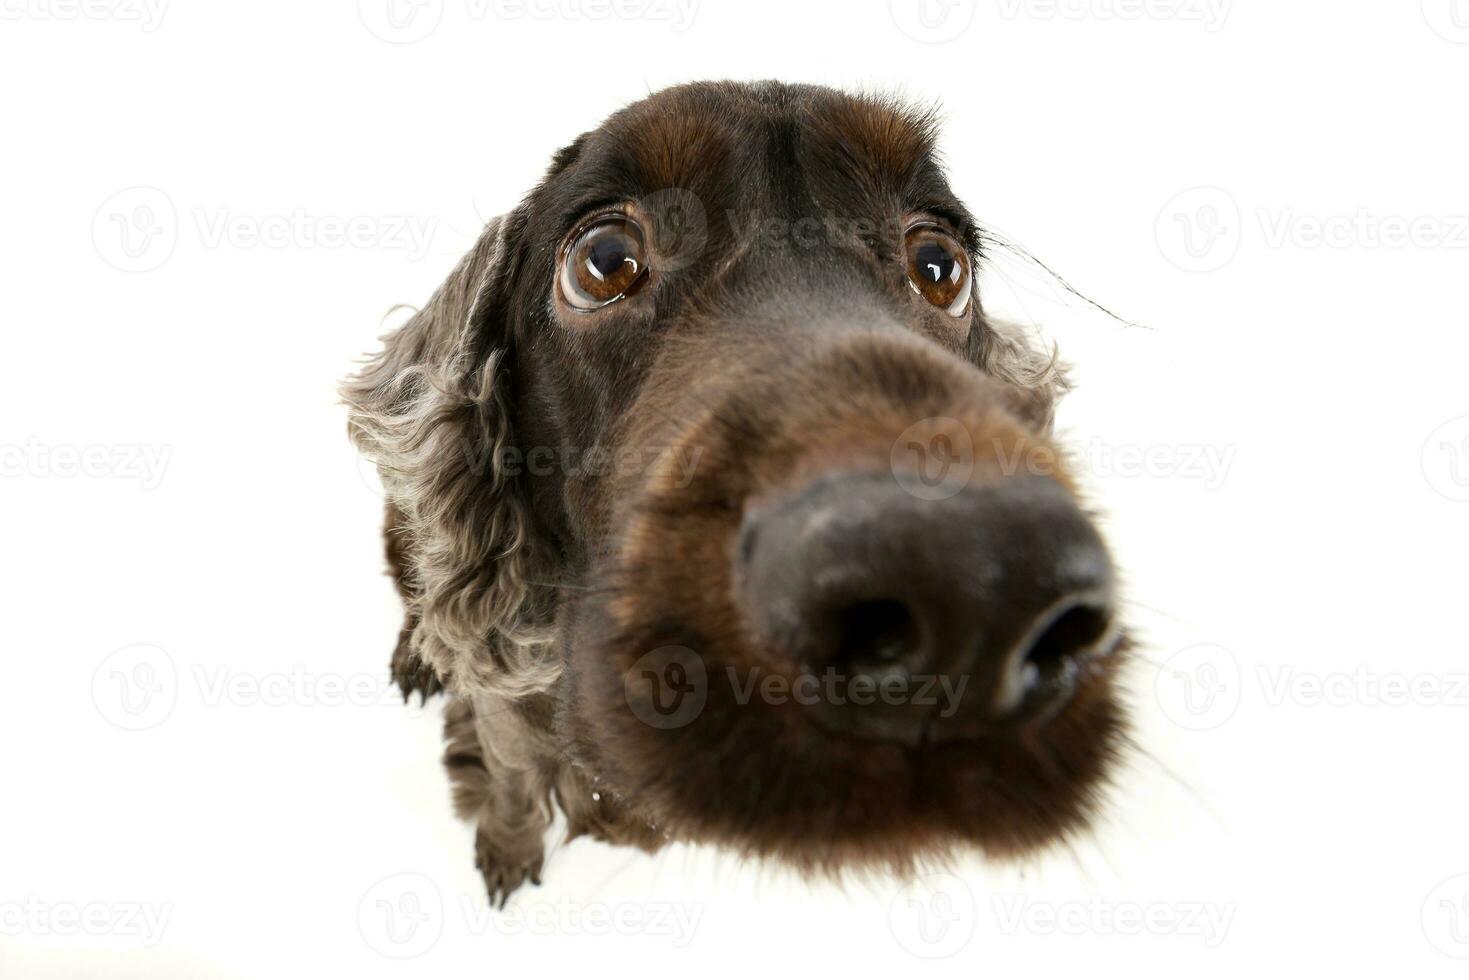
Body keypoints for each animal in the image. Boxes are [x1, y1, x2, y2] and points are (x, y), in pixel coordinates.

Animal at [340, 80, 1122, 910]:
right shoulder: (503, 718)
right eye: (603, 262)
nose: (975, 582)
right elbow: (515, 785)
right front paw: (507, 851)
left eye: (940, 266)